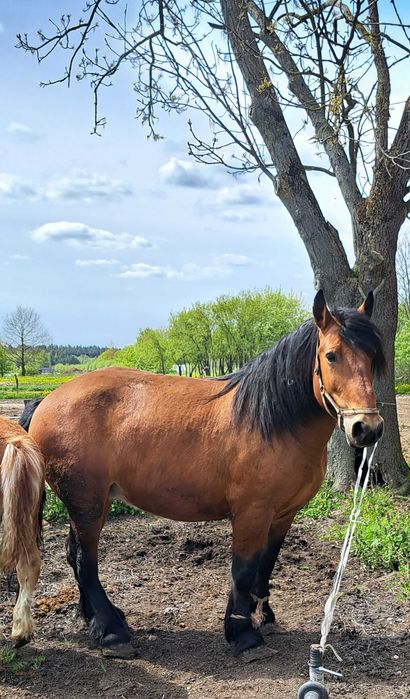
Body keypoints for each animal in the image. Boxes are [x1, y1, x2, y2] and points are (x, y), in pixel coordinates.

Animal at [24, 292, 386, 660]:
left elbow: (266, 565)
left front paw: (263, 617)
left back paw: (97, 619)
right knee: (85, 561)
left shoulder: (284, 513)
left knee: (74, 555)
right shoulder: (252, 512)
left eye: (373, 355)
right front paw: (243, 634)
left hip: (90, 504)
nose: (367, 428)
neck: (272, 421)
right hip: (87, 504)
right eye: (331, 355)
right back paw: (112, 632)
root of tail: (47, 400)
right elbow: (243, 570)